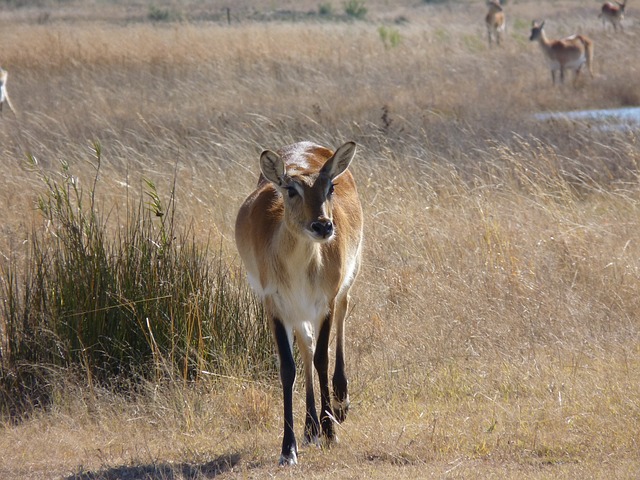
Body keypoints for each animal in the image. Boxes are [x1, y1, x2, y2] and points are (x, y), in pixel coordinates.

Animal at [236, 141, 364, 464]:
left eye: (330, 187)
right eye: (291, 189)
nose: (323, 226)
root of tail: (306, 145)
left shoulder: (325, 302)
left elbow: (322, 358)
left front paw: (331, 433)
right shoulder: (275, 305)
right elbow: (288, 367)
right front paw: (288, 448)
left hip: (347, 281)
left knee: (343, 313)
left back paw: (340, 404)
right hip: (297, 311)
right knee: (306, 345)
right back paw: (310, 429)